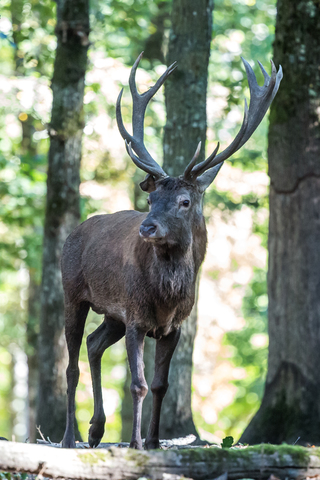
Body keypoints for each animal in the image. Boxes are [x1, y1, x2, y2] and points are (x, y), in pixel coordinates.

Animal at [60, 52, 282, 450]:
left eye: (184, 200)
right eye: (150, 199)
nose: (147, 227)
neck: (167, 295)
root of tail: (75, 231)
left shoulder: (173, 326)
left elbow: (161, 385)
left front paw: (153, 442)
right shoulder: (135, 316)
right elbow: (138, 384)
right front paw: (134, 444)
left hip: (112, 315)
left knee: (94, 343)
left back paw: (96, 429)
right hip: (72, 292)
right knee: (71, 365)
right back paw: (71, 438)